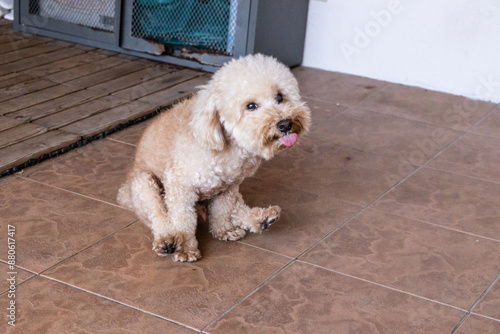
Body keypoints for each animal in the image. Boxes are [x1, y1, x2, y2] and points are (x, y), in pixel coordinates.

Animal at [118, 53, 310, 262]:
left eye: (279, 97)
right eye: (251, 106)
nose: (285, 124)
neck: (229, 148)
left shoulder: (228, 187)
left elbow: (223, 210)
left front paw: (223, 231)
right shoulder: (179, 186)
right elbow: (183, 220)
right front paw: (186, 248)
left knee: (237, 208)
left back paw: (262, 218)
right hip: (144, 183)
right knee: (159, 216)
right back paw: (167, 241)